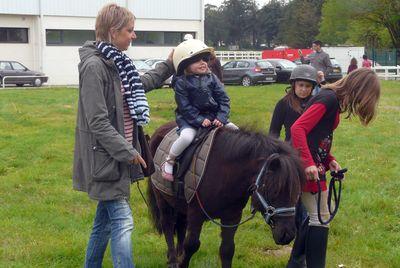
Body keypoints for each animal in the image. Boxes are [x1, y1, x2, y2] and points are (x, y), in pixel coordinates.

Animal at [148, 122, 306, 268]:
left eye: (297, 192)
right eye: (274, 191)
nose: (288, 234)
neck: (225, 172)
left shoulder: (232, 218)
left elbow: (227, 249)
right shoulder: (196, 214)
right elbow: (191, 245)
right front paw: (181, 263)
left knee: (180, 225)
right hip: (162, 198)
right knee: (168, 224)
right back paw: (173, 259)